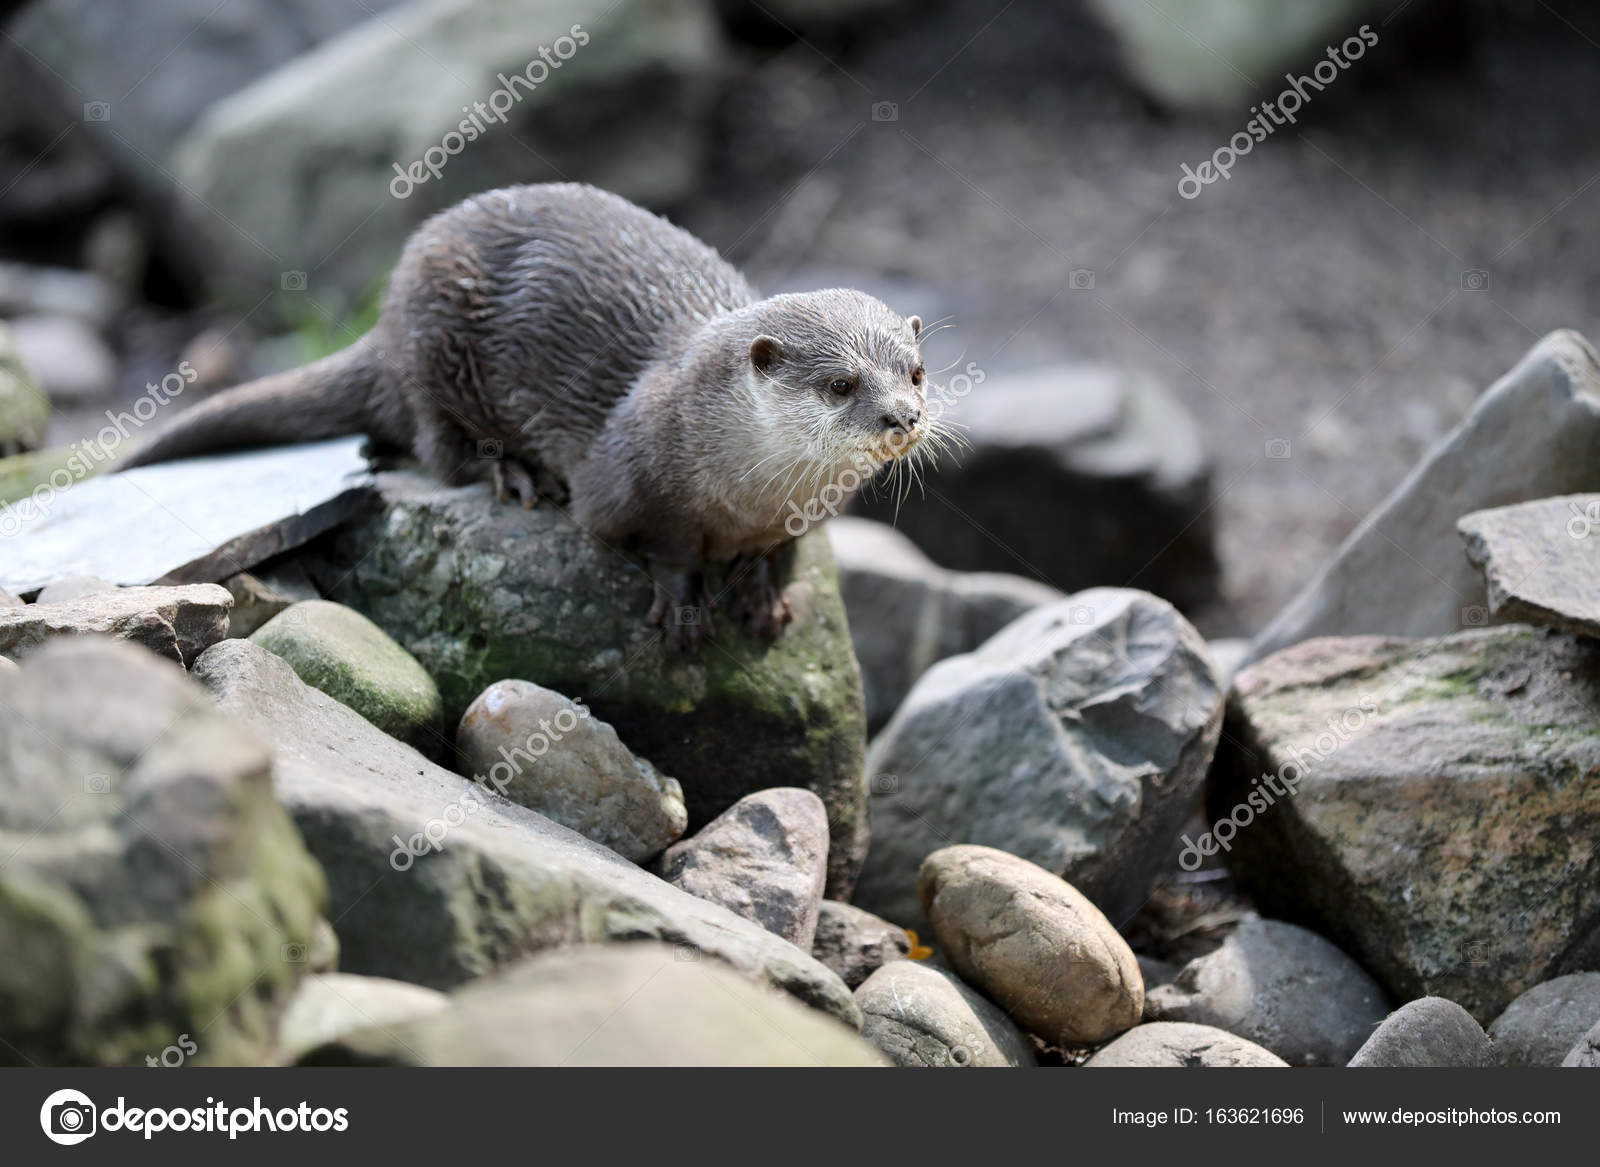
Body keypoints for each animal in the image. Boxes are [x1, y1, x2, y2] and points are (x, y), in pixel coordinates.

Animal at [120, 183, 940, 651]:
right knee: (438, 445)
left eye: (914, 371)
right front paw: (684, 610)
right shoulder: (625, 478)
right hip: (436, 339)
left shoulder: (802, 514)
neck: (747, 495)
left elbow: (779, 552)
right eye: (840, 383)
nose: (902, 416)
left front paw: (762, 594)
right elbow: (657, 544)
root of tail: (386, 319)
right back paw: (516, 472)